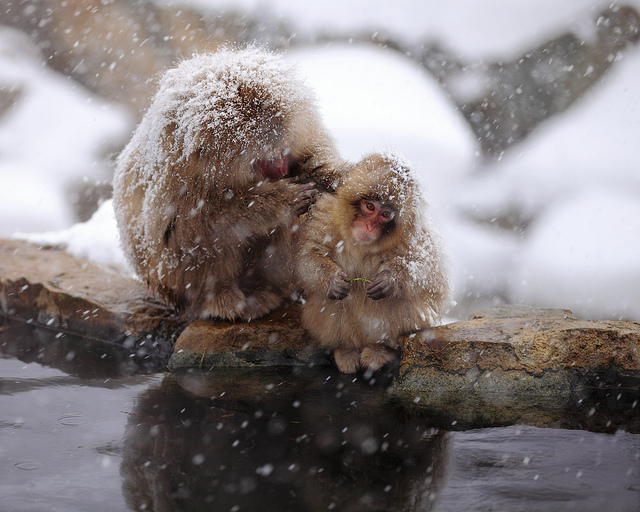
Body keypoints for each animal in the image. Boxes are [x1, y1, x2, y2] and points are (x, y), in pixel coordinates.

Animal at [112, 48, 348, 320]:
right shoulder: (177, 171)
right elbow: (185, 226)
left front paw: (338, 176)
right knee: (207, 239)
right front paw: (281, 200)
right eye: (262, 159)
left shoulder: (303, 129)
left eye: (282, 151)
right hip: (173, 283)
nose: (280, 170)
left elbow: (312, 162)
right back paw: (228, 300)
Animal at [296, 152, 456, 372]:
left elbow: (429, 272)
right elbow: (308, 256)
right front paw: (332, 280)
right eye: (370, 206)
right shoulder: (325, 215)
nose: (369, 226)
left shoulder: (416, 235)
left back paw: (381, 349)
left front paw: (389, 279)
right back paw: (346, 349)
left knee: (403, 301)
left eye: (385, 214)